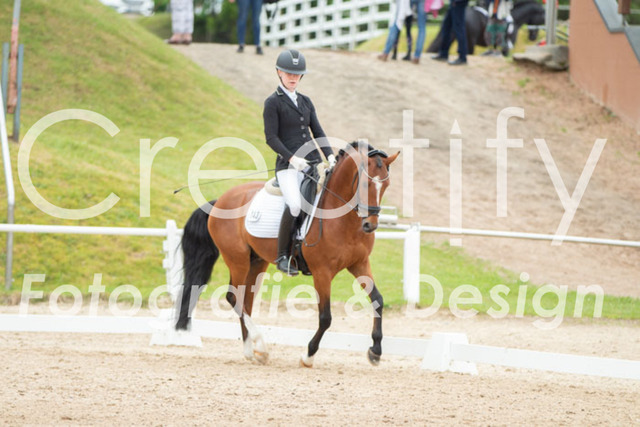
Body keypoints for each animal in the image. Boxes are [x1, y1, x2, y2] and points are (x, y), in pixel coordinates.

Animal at [174, 141, 400, 367]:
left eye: (386, 185)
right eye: (365, 184)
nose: (370, 225)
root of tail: (220, 200)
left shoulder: (359, 263)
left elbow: (378, 300)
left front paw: (375, 351)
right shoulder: (322, 271)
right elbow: (325, 317)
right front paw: (308, 355)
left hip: (256, 262)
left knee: (246, 300)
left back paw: (251, 351)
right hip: (237, 259)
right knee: (233, 297)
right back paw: (260, 345)